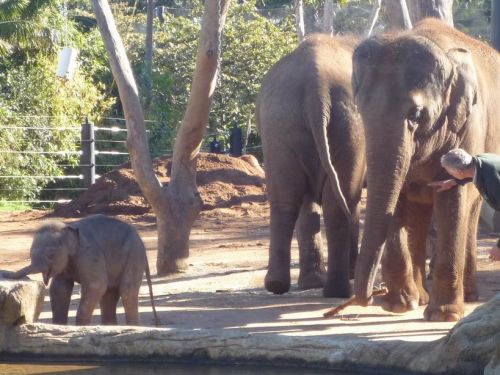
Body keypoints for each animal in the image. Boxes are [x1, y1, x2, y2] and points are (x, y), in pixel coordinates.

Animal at [1, 214, 158, 326]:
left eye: (51, 255)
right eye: (30, 254)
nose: (4, 273)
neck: (67, 228)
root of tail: (140, 240)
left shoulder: (89, 254)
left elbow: (95, 285)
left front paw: (80, 327)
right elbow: (59, 288)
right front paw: (59, 325)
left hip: (134, 255)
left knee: (127, 291)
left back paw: (132, 327)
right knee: (109, 294)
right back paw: (110, 326)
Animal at [256, 33, 366, 298]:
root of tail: (317, 88)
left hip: (280, 124)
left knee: (286, 200)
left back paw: (279, 285)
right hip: (350, 126)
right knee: (342, 201)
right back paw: (338, 289)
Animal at [352, 18, 500, 324]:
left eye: (416, 115)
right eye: (360, 110)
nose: (368, 297)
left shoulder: (468, 128)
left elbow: (453, 198)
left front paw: (443, 315)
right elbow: (396, 199)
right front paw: (398, 305)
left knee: (470, 212)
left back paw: (467, 296)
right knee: (419, 217)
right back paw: (419, 296)